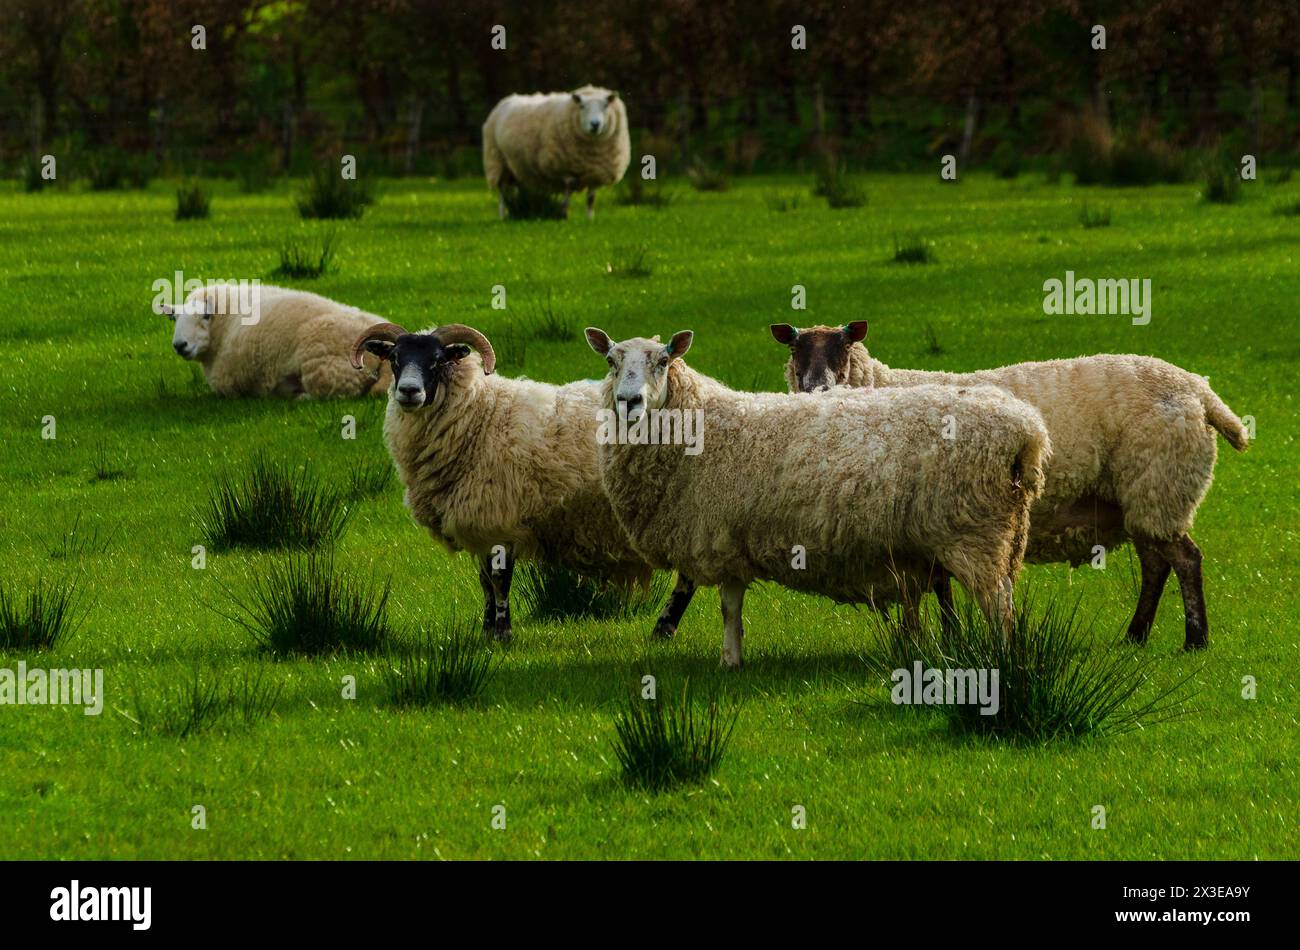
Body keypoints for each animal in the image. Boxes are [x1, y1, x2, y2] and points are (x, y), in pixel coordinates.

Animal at [345, 323, 691, 641]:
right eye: (394, 358)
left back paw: (664, 630)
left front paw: (502, 633)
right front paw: (486, 632)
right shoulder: (480, 523)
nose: (408, 391)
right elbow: (484, 581)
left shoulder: (499, 518)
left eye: (438, 361)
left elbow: (500, 580)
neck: (481, 414)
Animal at [486, 83, 631, 219]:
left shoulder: (596, 173)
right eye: (582, 106)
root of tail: (508, 98)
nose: (595, 124)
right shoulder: (565, 171)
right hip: (497, 161)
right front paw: (563, 216)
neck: (592, 152)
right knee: (502, 193)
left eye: (606, 105)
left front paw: (590, 219)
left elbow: (591, 200)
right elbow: (566, 197)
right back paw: (502, 215)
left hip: (517, 168)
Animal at [769, 323, 1248, 649]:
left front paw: (948, 637)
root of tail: (1200, 392)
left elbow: (939, 587)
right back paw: (1136, 634)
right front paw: (949, 635)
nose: (816, 387)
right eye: (795, 348)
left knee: (1185, 560)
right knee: (1156, 565)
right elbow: (939, 587)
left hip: (1160, 484)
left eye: (843, 347)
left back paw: (1194, 639)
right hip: (1141, 497)